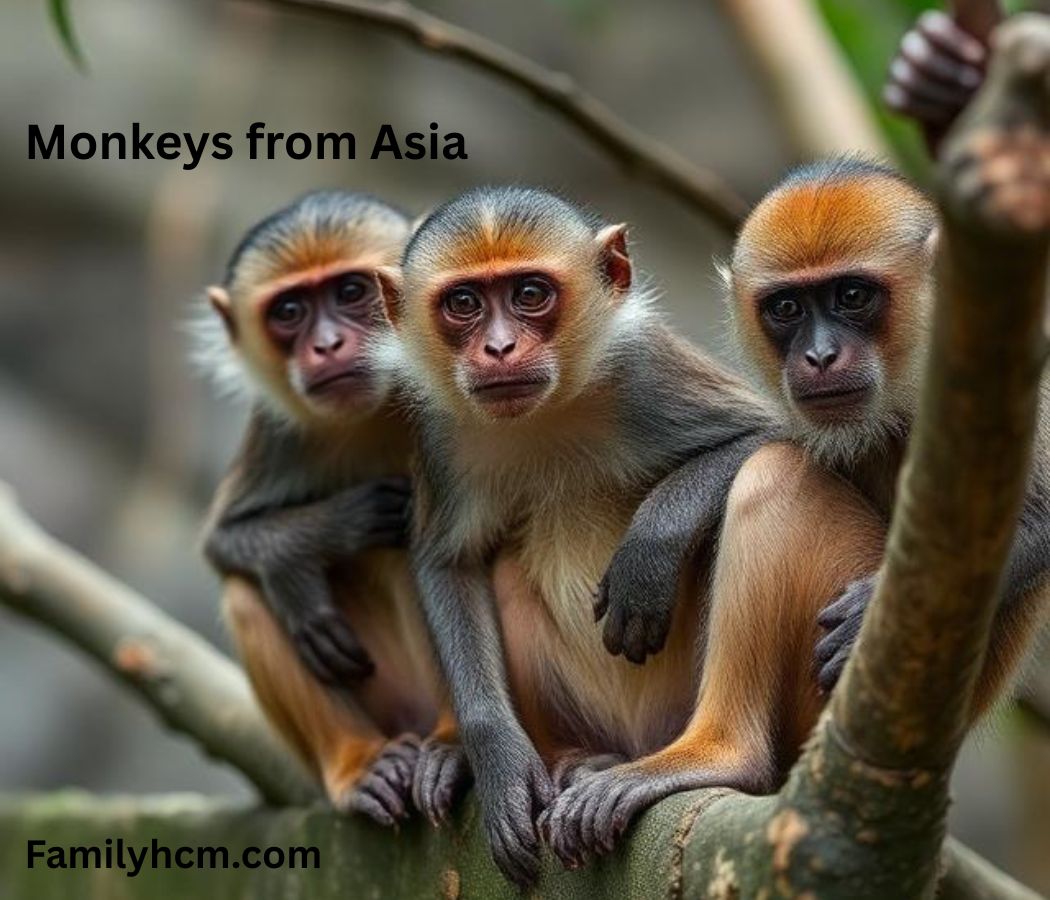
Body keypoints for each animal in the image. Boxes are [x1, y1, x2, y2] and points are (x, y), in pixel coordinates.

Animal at [199, 190, 450, 825]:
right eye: (290, 310)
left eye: (351, 291)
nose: (328, 345)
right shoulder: (279, 430)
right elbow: (223, 542)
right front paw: (304, 558)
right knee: (243, 592)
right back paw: (361, 764)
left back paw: (453, 744)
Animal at [373, 185, 889, 884]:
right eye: (464, 303)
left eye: (529, 293)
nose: (499, 349)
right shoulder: (440, 430)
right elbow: (447, 561)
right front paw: (498, 759)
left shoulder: (645, 371)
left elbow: (777, 438)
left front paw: (651, 549)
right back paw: (574, 759)